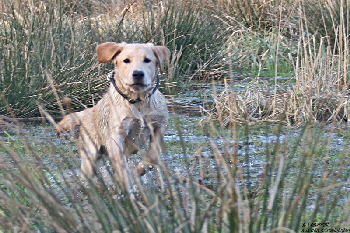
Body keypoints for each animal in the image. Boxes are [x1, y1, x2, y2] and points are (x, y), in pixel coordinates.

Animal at [56, 41, 170, 187]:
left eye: (147, 60)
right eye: (126, 60)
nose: (138, 73)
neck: (138, 101)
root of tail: (88, 112)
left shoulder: (159, 126)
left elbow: (152, 156)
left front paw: (138, 171)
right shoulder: (116, 134)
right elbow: (121, 165)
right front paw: (127, 184)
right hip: (90, 154)